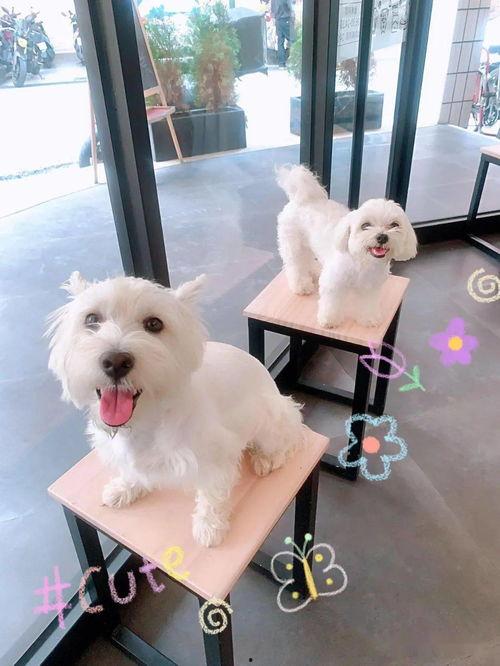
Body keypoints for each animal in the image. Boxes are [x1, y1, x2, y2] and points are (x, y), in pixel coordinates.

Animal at [47, 272, 304, 547]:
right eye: (91, 319)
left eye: (154, 324)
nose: (115, 361)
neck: (145, 423)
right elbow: (132, 470)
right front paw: (123, 488)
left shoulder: (215, 458)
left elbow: (212, 494)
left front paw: (209, 527)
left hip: (272, 419)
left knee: (288, 440)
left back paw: (266, 458)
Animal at [276, 165, 417, 328]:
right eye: (365, 225)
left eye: (394, 225)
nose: (382, 237)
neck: (363, 261)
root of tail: (301, 198)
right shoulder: (333, 283)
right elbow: (331, 303)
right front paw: (329, 320)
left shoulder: (371, 287)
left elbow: (368, 304)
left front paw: (369, 318)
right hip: (293, 244)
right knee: (295, 265)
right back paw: (301, 286)